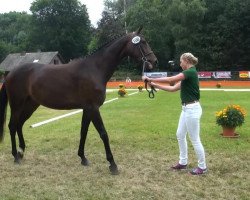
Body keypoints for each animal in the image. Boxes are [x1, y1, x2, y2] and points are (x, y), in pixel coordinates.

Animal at [0, 27, 157, 173]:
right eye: (142, 42)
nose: (153, 61)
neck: (94, 69)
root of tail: (9, 74)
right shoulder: (93, 108)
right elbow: (103, 133)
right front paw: (112, 164)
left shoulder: (87, 109)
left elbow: (83, 132)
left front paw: (83, 158)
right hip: (17, 104)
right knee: (12, 125)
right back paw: (15, 156)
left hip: (31, 105)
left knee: (19, 124)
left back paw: (21, 152)